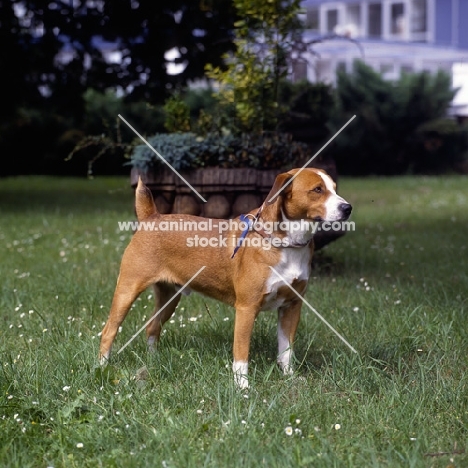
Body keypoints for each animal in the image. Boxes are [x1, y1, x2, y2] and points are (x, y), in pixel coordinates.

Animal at [100, 167, 352, 388]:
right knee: (108, 331)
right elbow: (241, 355)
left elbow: (286, 351)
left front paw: (289, 378)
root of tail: (151, 217)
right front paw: (242, 387)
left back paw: (153, 361)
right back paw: (101, 368)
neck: (286, 243)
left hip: (170, 298)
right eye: (317, 189)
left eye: (334, 188)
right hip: (127, 291)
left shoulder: (291, 306)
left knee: (152, 328)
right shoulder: (247, 309)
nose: (347, 208)